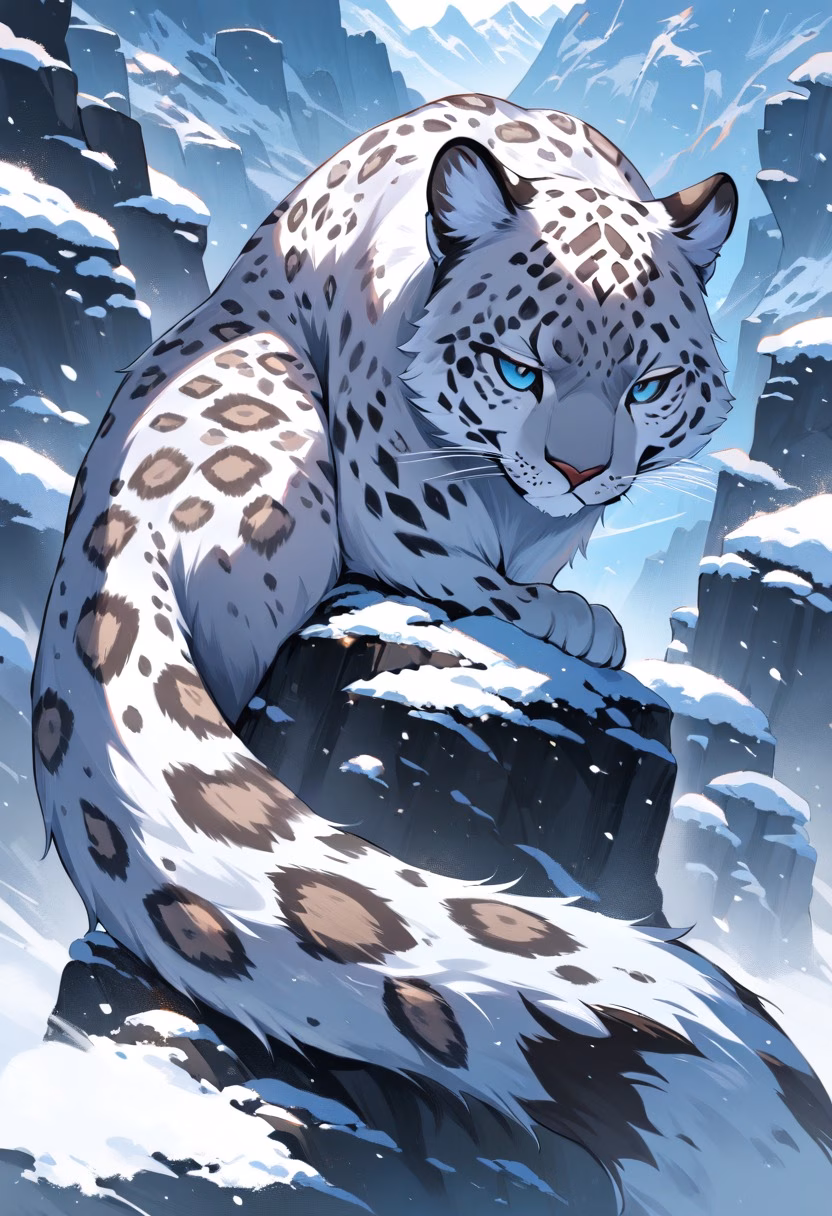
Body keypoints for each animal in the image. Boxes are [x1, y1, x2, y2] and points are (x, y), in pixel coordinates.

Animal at [31, 94, 832, 1213]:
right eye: (518, 365)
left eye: (653, 382)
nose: (579, 470)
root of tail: (95, 533)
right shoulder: (397, 497)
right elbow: (453, 558)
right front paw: (567, 613)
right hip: (270, 409)